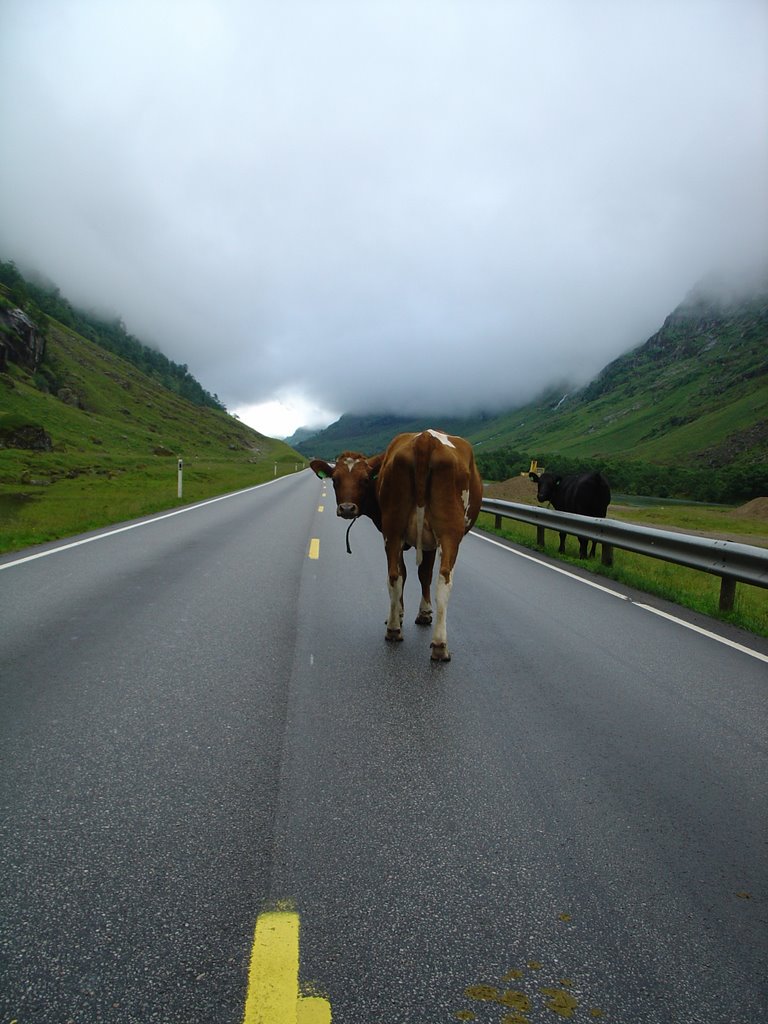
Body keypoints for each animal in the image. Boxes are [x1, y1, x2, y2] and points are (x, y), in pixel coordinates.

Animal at [311, 428, 481, 659]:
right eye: (335, 480)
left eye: (365, 480)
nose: (347, 508)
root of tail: (425, 438)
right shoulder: (425, 542)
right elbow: (422, 574)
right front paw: (420, 612)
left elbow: (412, 574)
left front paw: (404, 614)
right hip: (448, 533)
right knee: (441, 580)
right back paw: (436, 642)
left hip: (394, 529)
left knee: (395, 575)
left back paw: (395, 630)